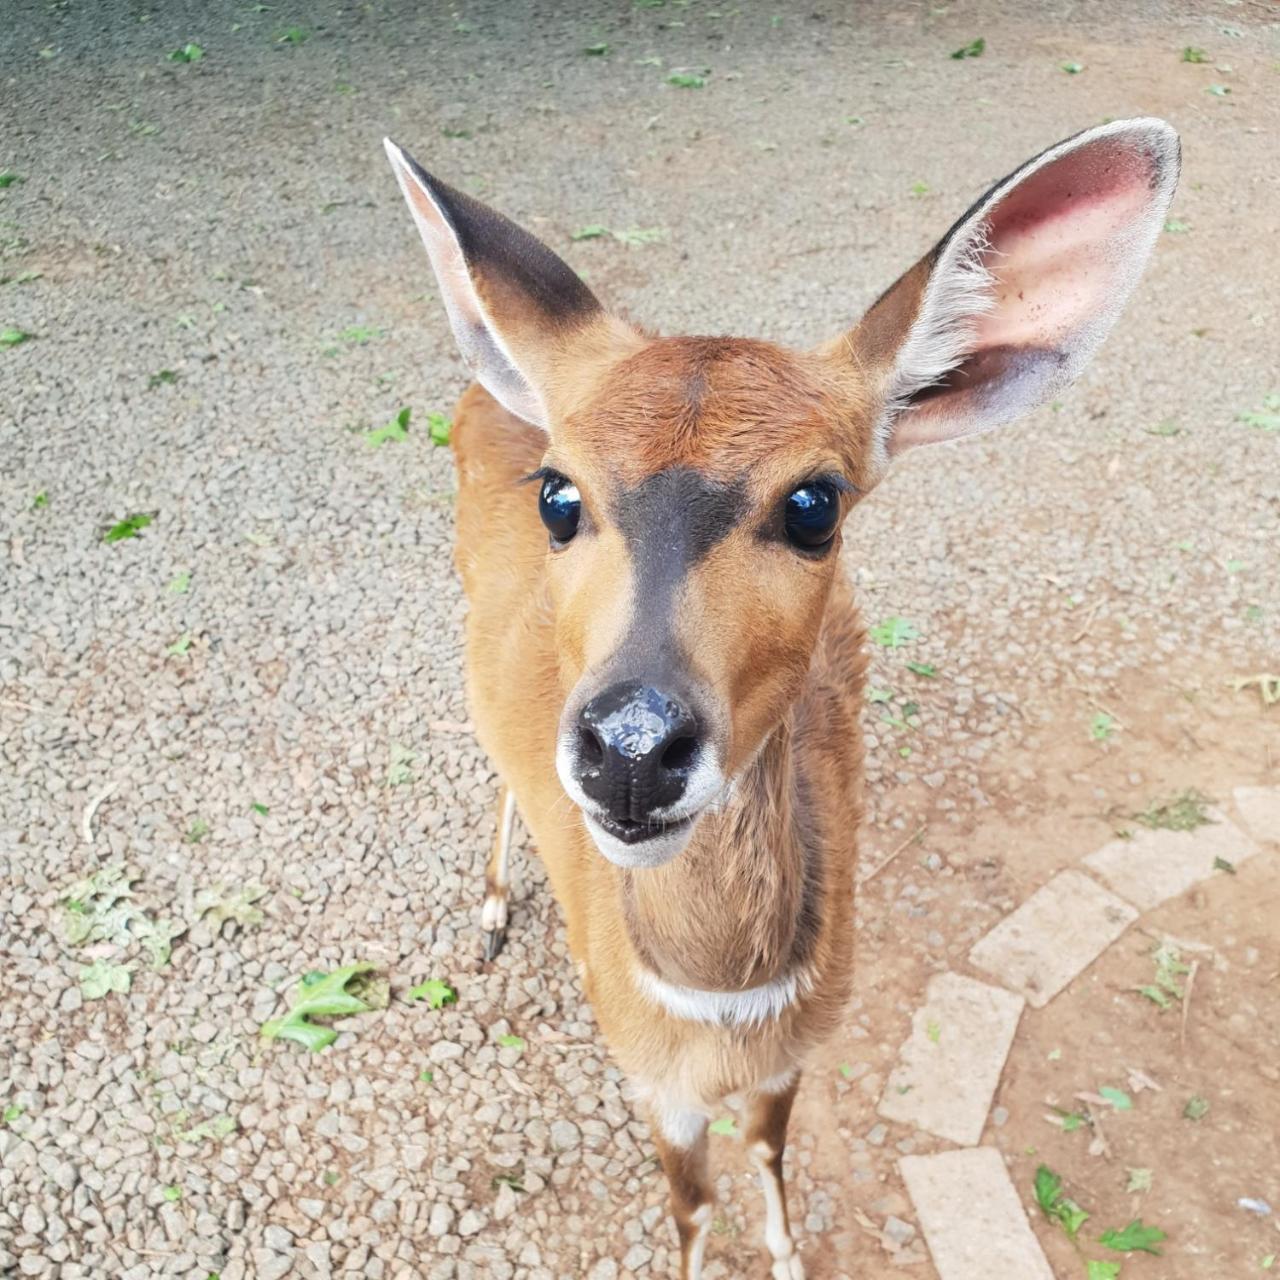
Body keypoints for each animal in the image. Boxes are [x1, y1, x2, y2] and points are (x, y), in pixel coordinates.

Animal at [381, 115, 1177, 1274]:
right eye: (559, 495)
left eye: (814, 504)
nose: (630, 750)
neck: (718, 1002)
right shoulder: (651, 1077)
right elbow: (688, 1203)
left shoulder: (799, 1048)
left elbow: (766, 1151)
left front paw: (791, 1253)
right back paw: (490, 910)